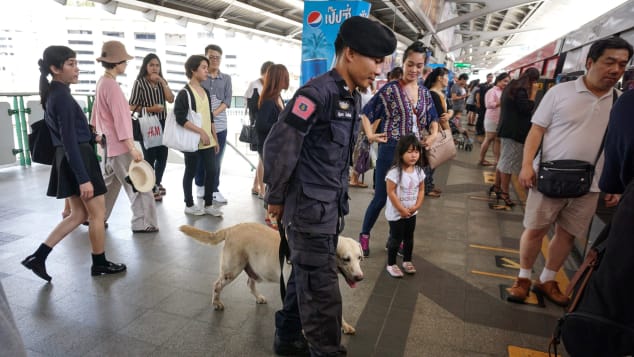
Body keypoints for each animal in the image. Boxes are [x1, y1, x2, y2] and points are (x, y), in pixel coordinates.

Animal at [180, 222, 362, 334]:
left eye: (360, 257)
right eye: (346, 259)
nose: (359, 277)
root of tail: (232, 228)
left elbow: (337, 311)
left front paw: (344, 326)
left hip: (255, 269)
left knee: (249, 283)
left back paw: (259, 297)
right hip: (231, 270)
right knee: (217, 284)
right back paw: (216, 303)